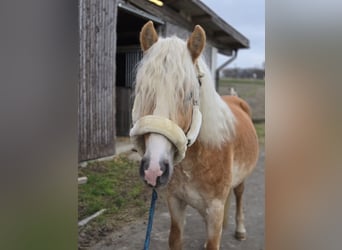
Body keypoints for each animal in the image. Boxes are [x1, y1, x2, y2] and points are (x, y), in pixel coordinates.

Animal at [130, 21, 258, 250]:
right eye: (143, 90)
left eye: (189, 95)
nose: (153, 170)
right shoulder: (175, 202)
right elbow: (175, 238)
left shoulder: (215, 210)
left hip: (242, 179)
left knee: (240, 195)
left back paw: (240, 230)